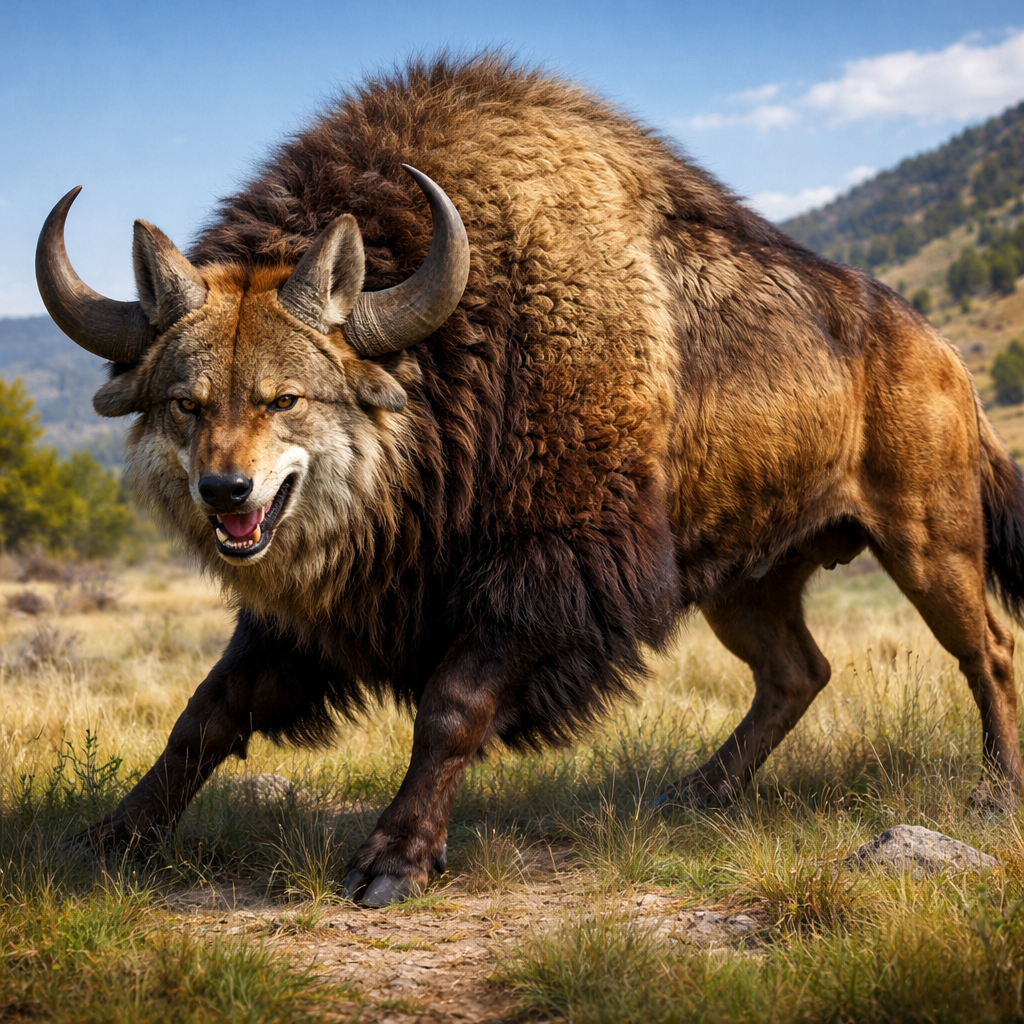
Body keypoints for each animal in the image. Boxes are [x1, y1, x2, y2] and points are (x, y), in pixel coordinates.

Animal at [37, 55, 1024, 906]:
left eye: (287, 397)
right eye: (185, 402)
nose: (225, 493)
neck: (456, 354)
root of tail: (939, 352)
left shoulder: (545, 579)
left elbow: (450, 708)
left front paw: (391, 863)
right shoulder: (315, 612)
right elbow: (207, 712)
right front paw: (109, 838)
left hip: (928, 543)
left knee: (989, 650)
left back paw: (998, 790)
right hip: (747, 585)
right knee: (798, 673)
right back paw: (694, 793)